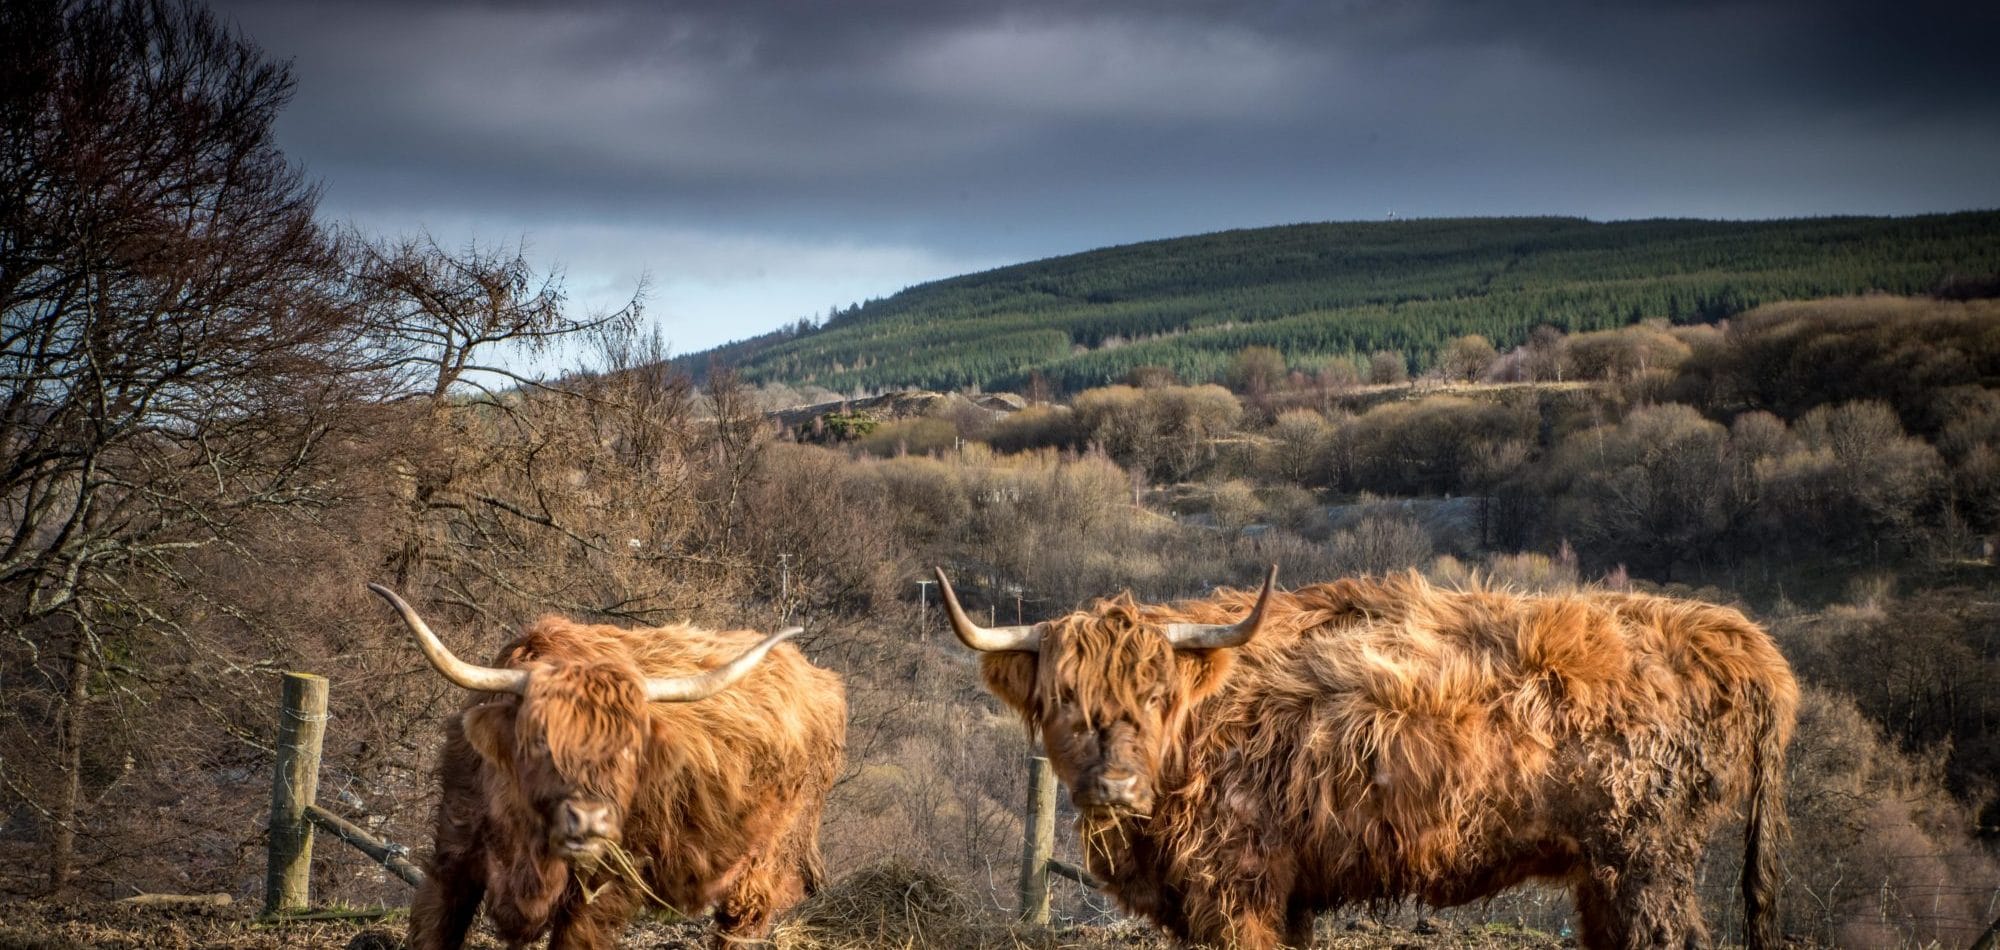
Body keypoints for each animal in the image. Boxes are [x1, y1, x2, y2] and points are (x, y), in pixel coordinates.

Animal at [368, 584, 844, 950]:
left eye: (630, 750)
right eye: (539, 740)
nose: (590, 820)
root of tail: (821, 679)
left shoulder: (605, 890)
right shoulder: (452, 859)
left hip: (765, 860)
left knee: (742, 922)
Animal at [936, 568, 1800, 950]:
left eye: (1156, 695)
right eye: (1065, 699)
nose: (1114, 785)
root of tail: (1731, 634)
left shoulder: (1235, 883)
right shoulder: (1280, 891)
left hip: (1647, 859)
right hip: (1606, 872)